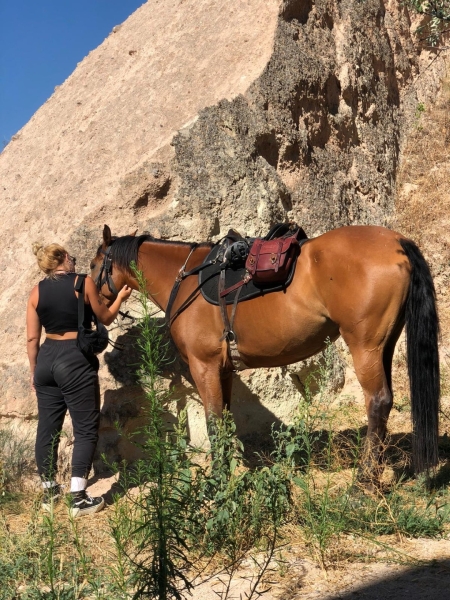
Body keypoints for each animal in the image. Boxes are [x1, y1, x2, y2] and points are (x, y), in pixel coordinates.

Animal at [90, 223, 440, 480]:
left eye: (94, 265)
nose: (93, 302)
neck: (188, 282)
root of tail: (396, 242)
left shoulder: (203, 366)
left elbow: (213, 422)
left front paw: (218, 481)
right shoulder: (223, 370)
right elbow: (225, 420)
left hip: (364, 345)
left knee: (377, 403)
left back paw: (363, 482)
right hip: (384, 344)